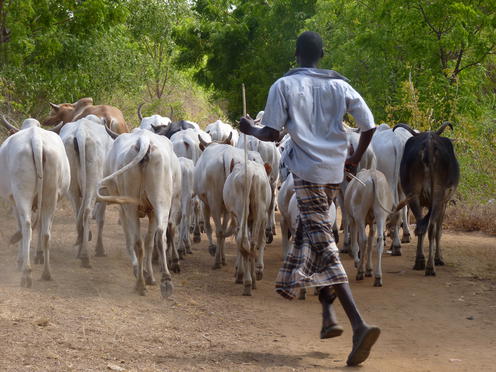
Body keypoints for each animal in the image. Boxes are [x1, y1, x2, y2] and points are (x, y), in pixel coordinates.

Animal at [0, 117, 70, 286]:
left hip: (22, 193)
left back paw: (26, 272)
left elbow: (21, 225)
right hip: (51, 195)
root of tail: (36, 139)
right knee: (46, 232)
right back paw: (46, 272)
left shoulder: (14, 200)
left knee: (26, 225)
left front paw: (20, 260)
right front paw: (38, 254)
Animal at [58, 115, 113, 266]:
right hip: (94, 182)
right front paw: (100, 249)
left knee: (78, 210)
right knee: (87, 211)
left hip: (71, 184)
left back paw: (81, 246)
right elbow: (101, 218)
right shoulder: (104, 191)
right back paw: (85, 255)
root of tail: (81, 133)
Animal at [97, 128, 182, 296]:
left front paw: (142, 272)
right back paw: (164, 280)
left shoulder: (126, 208)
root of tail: (143, 140)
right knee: (158, 236)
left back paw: (142, 282)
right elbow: (148, 241)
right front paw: (147, 274)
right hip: (160, 203)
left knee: (139, 241)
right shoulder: (150, 212)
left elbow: (136, 240)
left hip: (132, 206)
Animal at [224, 159, 272, 296]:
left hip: (242, 212)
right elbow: (261, 241)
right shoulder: (263, 216)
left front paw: (238, 271)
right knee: (253, 242)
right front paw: (258, 269)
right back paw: (252, 279)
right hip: (259, 212)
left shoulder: (236, 217)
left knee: (244, 240)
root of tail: (250, 172)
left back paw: (246, 280)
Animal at [394, 122, 460, 276]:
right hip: (437, 196)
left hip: (413, 195)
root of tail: (429, 145)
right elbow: (438, 231)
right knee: (431, 228)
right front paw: (439, 258)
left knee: (421, 224)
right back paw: (430, 266)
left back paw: (420, 261)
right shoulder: (444, 203)